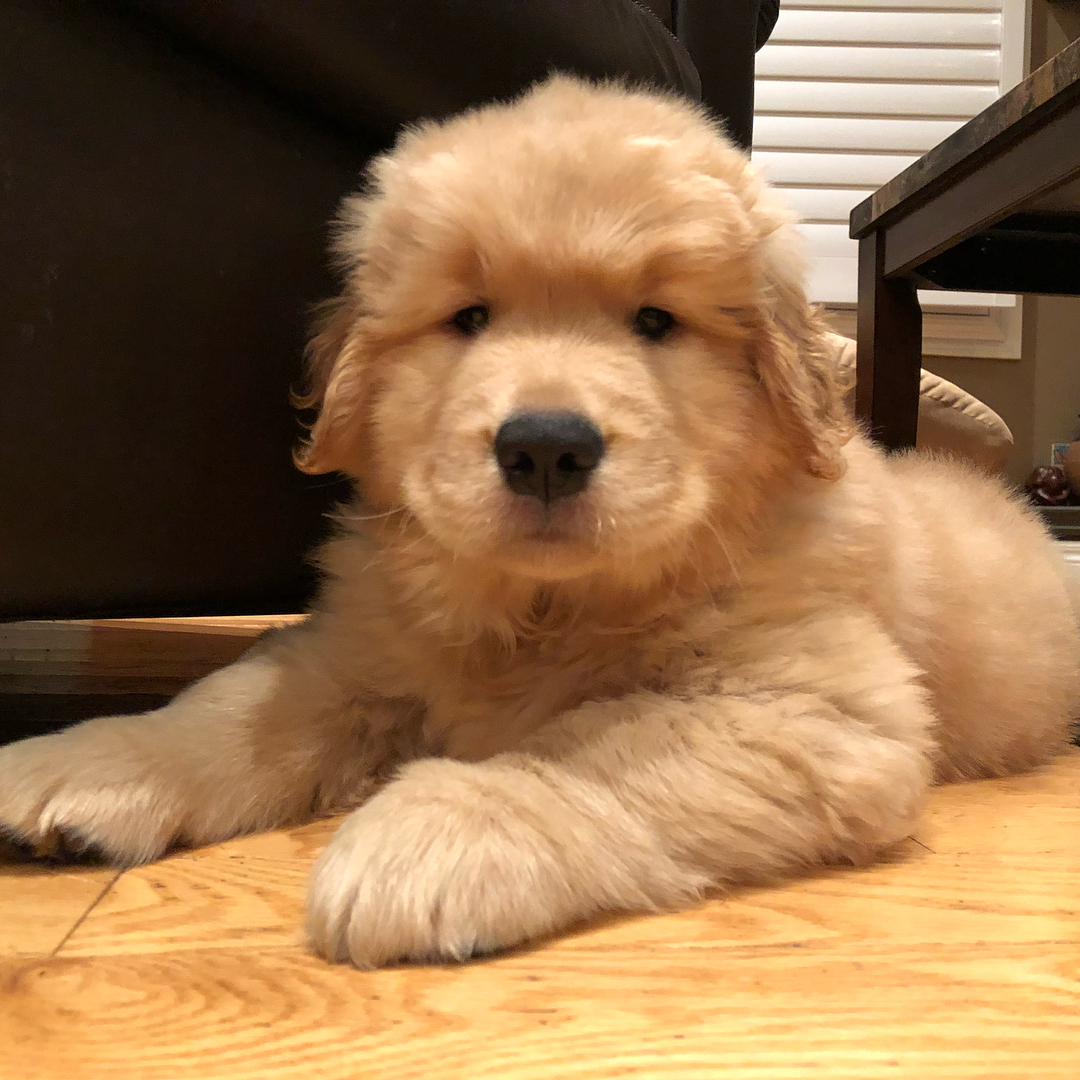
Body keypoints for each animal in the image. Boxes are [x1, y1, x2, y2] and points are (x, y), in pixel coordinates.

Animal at [1, 77, 1077, 968]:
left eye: (655, 322)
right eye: (470, 318)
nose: (546, 448)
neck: (546, 608)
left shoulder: (821, 709)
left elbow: (592, 743)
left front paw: (428, 834)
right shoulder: (355, 653)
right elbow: (230, 708)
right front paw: (84, 762)